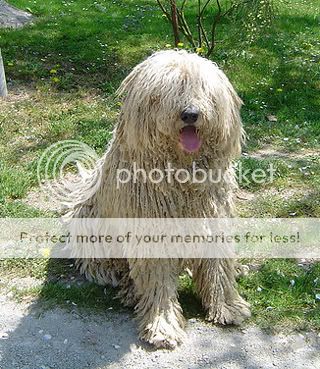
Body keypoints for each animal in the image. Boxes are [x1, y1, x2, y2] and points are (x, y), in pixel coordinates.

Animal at [71, 49, 251, 348]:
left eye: (202, 89)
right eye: (167, 91)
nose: (190, 114)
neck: (180, 173)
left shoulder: (213, 219)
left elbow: (218, 267)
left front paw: (228, 306)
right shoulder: (150, 231)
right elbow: (158, 283)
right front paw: (163, 326)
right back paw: (127, 288)